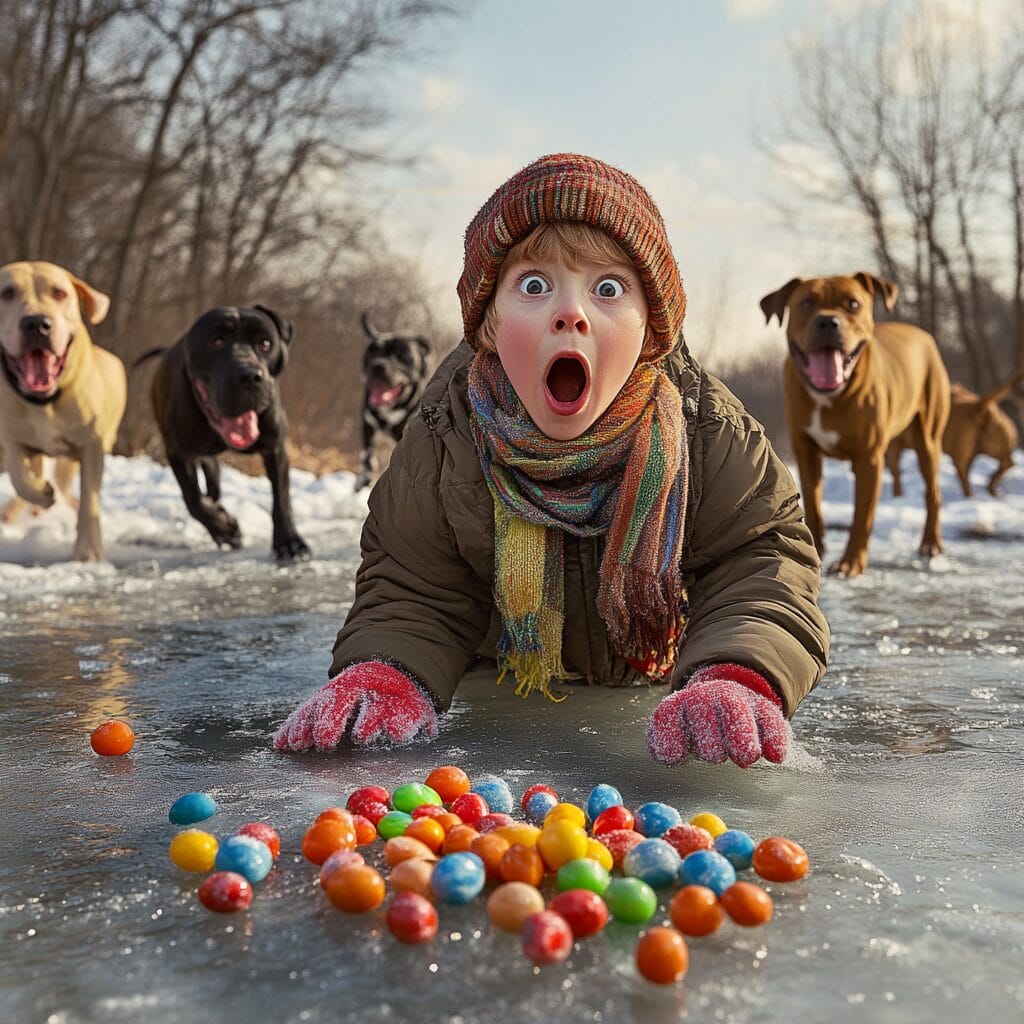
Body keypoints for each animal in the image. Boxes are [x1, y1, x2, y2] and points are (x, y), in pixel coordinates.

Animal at [0, 256, 126, 561]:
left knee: (67, 483)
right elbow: (19, 476)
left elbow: (90, 499)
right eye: (7, 293)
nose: (36, 323)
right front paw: (40, 494)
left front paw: (88, 551)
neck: (43, 403)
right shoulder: (13, 436)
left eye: (59, 293)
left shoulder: (92, 445)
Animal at [136, 303, 311, 561]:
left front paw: (290, 543)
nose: (250, 377)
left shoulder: (275, 447)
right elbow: (193, 499)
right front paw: (225, 528)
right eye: (217, 342)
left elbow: (281, 498)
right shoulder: (178, 453)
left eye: (265, 344)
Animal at [354, 309, 430, 489]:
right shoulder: (367, 422)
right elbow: (366, 454)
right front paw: (363, 477)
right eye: (371, 352)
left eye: (402, 354)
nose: (378, 365)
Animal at [761, 272, 950, 577]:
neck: (828, 396)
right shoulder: (806, 452)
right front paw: (815, 551)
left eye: (852, 304)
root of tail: (921, 333)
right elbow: (813, 504)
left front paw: (850, 563)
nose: (828, 321)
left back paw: (931, 544)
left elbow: (862, 514)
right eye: (806, 303)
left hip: (928, 440)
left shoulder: (868, 458)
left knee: (933, 492)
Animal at [884, 368, 1019, 499]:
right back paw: (991, 487)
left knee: (964, 476)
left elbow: (896, 474)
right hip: (992, 444)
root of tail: (978, 406)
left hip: (959, 453)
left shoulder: (894, 447)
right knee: (1007, 463)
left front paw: (897, 496)